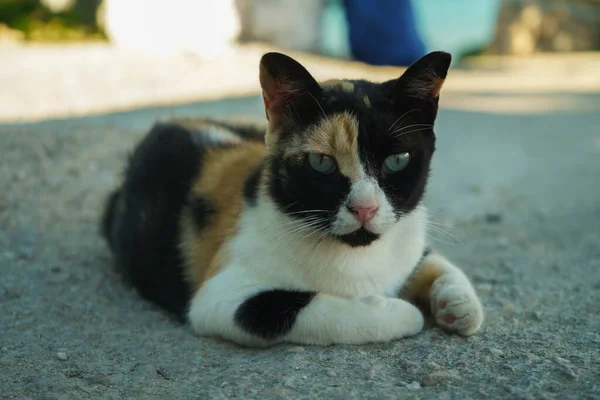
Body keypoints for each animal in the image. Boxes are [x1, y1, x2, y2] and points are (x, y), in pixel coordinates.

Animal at [99, 50, 482, 346]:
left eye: (398, 160)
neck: (356, 258)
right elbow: (309, 310)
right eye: (321, 163)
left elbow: (435, 261)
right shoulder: (219, 298)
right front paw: (398, 312)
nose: (365, 208)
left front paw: (457, 304)